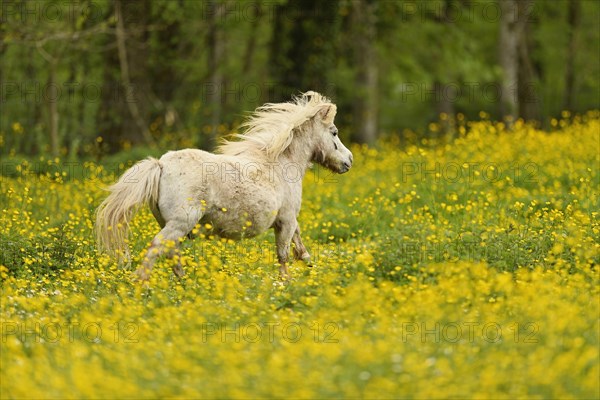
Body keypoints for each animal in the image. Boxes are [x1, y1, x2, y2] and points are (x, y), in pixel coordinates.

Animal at [96, 90, 354, 280]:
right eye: (334, 132)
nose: (348, 160)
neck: (280, 163)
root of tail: (160, 165)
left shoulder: (287, 220)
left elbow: (298, 244)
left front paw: (308, 264)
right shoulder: (286, 220)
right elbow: (283, 255)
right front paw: (286, 283)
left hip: (173, 227)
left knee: (171, 254)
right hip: (180, 223)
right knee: (157, 248)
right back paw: (142, 284)